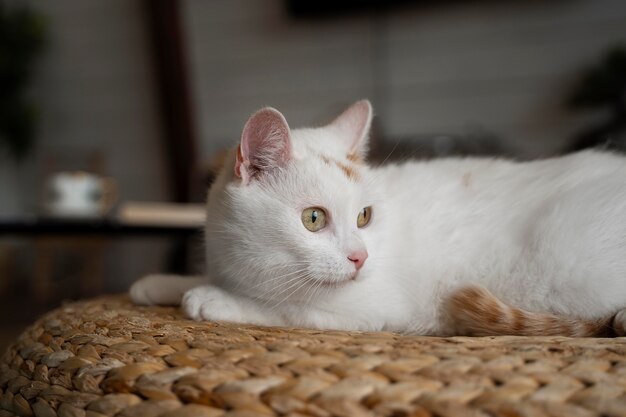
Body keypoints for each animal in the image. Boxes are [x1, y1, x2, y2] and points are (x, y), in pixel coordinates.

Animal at [129, 102, 624, 336]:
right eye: (313, 219)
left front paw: (216, 299)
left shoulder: (376, 307)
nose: (360, 257)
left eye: (364, 216)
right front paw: (158, 284)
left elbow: (289, 307)